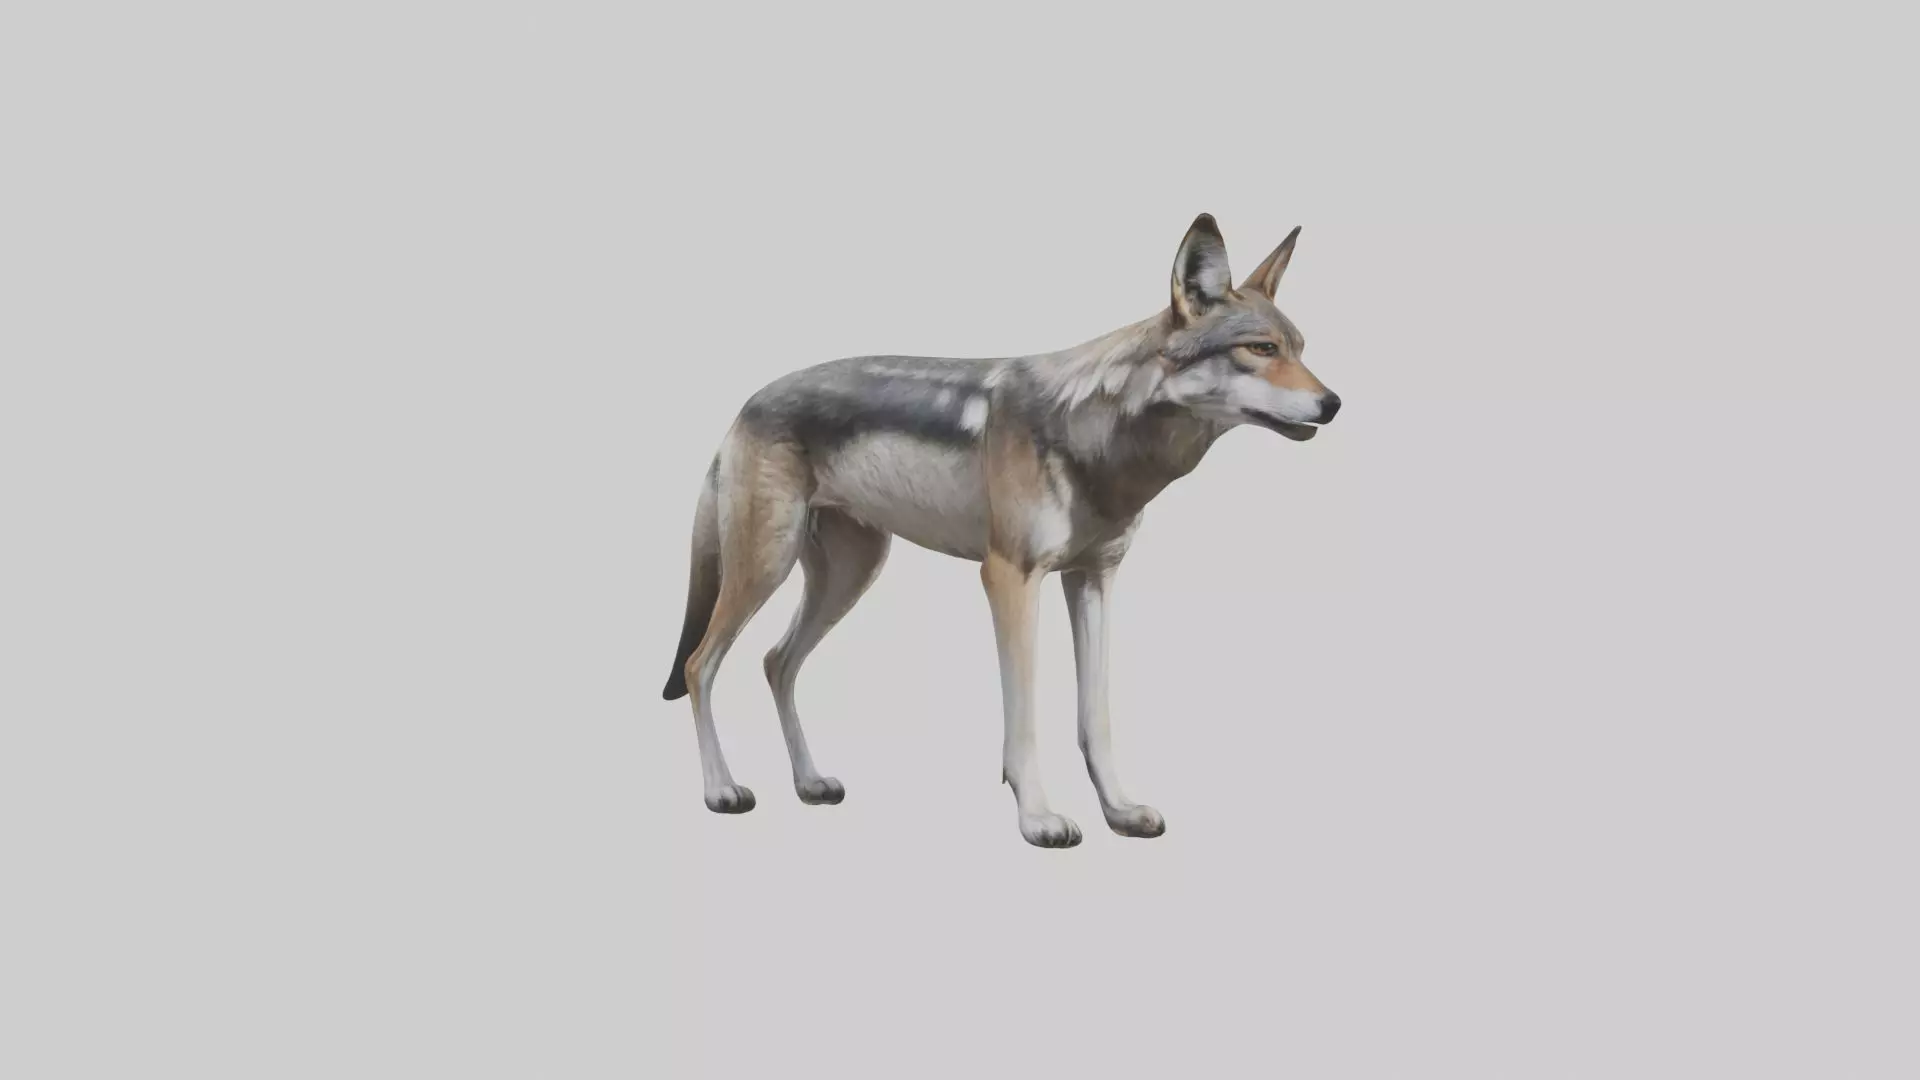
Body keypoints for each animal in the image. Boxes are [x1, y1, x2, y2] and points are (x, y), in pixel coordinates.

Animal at [663, 213, 1341, 848]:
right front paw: (1038, 818)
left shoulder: (1093, 579)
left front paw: (1120, 811)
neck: (1098, 438)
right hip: (766, 568)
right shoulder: (1010, 578)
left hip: (849, 578)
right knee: (700, 664)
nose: (1333, 403)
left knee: (777, 663)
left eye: (1301, 348)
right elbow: (1025, 719)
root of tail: (746, 405)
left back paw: (810, 783)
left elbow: (1095, 718)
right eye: (1261, 349)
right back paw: (722, 790)